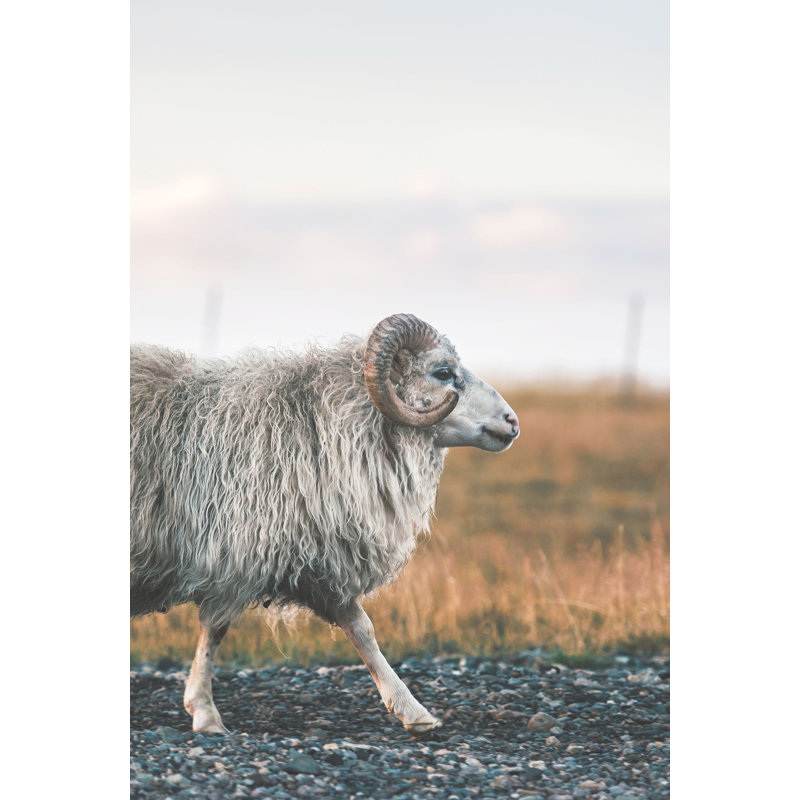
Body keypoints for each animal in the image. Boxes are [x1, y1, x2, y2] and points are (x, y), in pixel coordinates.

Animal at [130, 313, 520, 733]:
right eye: (443, 372)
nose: (512, 421)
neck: (318, 427)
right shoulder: (235, 553)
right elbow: (214, 630)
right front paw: (205, 713)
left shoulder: (318, 559)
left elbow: (362, 629)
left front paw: (412, 710)